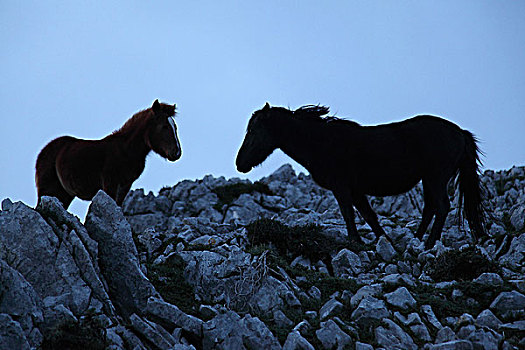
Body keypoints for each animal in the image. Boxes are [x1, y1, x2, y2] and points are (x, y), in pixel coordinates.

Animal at [35, 99, 180, 208]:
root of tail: (43, 152)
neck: (127, 151)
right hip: (47, 190)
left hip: (64, 194)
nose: (177, 152)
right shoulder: (110, 184)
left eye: (175, 127)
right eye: (164, 127)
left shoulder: (125, 186)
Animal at [235, 102, 486, 247]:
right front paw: (385, 243)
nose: (240, 164)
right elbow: (369, 216)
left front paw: (355, 242)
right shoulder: (356, 191)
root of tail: (460, 133)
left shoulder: (342, 187)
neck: (320, 142)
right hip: (428, 180)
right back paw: (416, 239)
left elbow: (349, 214)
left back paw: (428, 244)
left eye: (254, 130)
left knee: (441, 207)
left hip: (436, 177)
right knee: (430, 208)